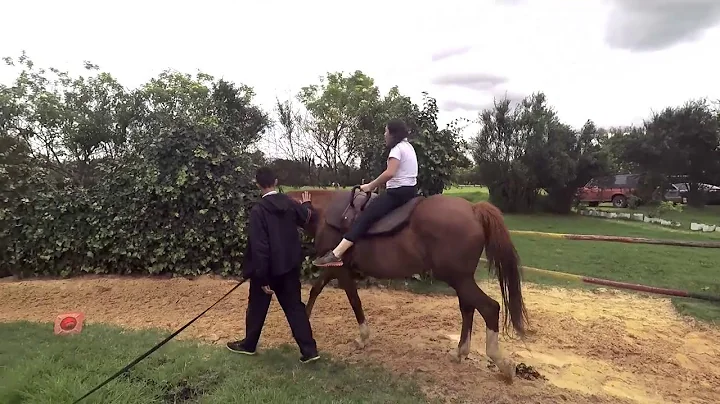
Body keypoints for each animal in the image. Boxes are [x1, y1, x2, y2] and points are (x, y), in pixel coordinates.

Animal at [286, 188, 528, 380]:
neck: (324, 212)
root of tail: (474, 209)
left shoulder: (342, 271)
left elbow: (354, 301)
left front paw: (362, 338)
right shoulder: (332, 268)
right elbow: (316, 290)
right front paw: (302, 321)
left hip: (458, 278)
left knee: (489, 307)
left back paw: (502, 364)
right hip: (462, 280)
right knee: (468, 308)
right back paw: (460, 352)